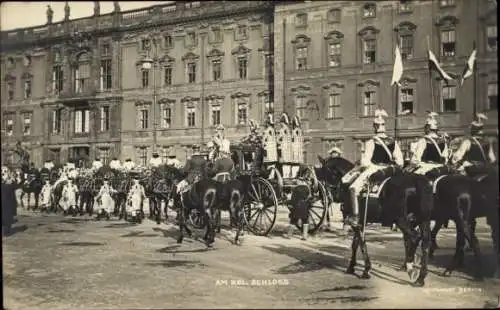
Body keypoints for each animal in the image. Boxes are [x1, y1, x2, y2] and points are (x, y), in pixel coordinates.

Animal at [318, 156, 432, 286]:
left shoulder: (357, 224)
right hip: (422, 220)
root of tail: (417, 180)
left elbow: (361, 244)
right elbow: (355, 244)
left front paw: (366, 270)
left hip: (402, 220)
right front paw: (352, 267)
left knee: (414, 237)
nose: (324, 197)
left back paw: (409, 267)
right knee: (425, 243)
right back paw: (420, 277)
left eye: (324, 173)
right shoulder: (360, 223)